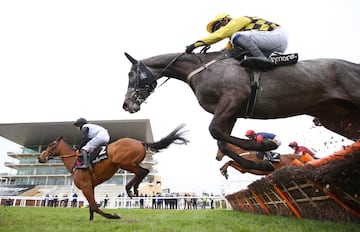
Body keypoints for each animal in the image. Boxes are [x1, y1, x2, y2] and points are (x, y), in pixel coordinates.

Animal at [37, 124, 188, 220]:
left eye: (51, 145)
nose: (40, 157)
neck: (75, 162)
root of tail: (140, 142)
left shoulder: (85, 186)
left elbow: (94, 206)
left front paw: (113, 216)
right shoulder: (90, 186)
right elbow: (92, 207)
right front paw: (91, 220)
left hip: (123, 162)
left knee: (142, 171)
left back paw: (130, 189)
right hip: (130, 163)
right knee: (144, 171)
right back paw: (134, 189)